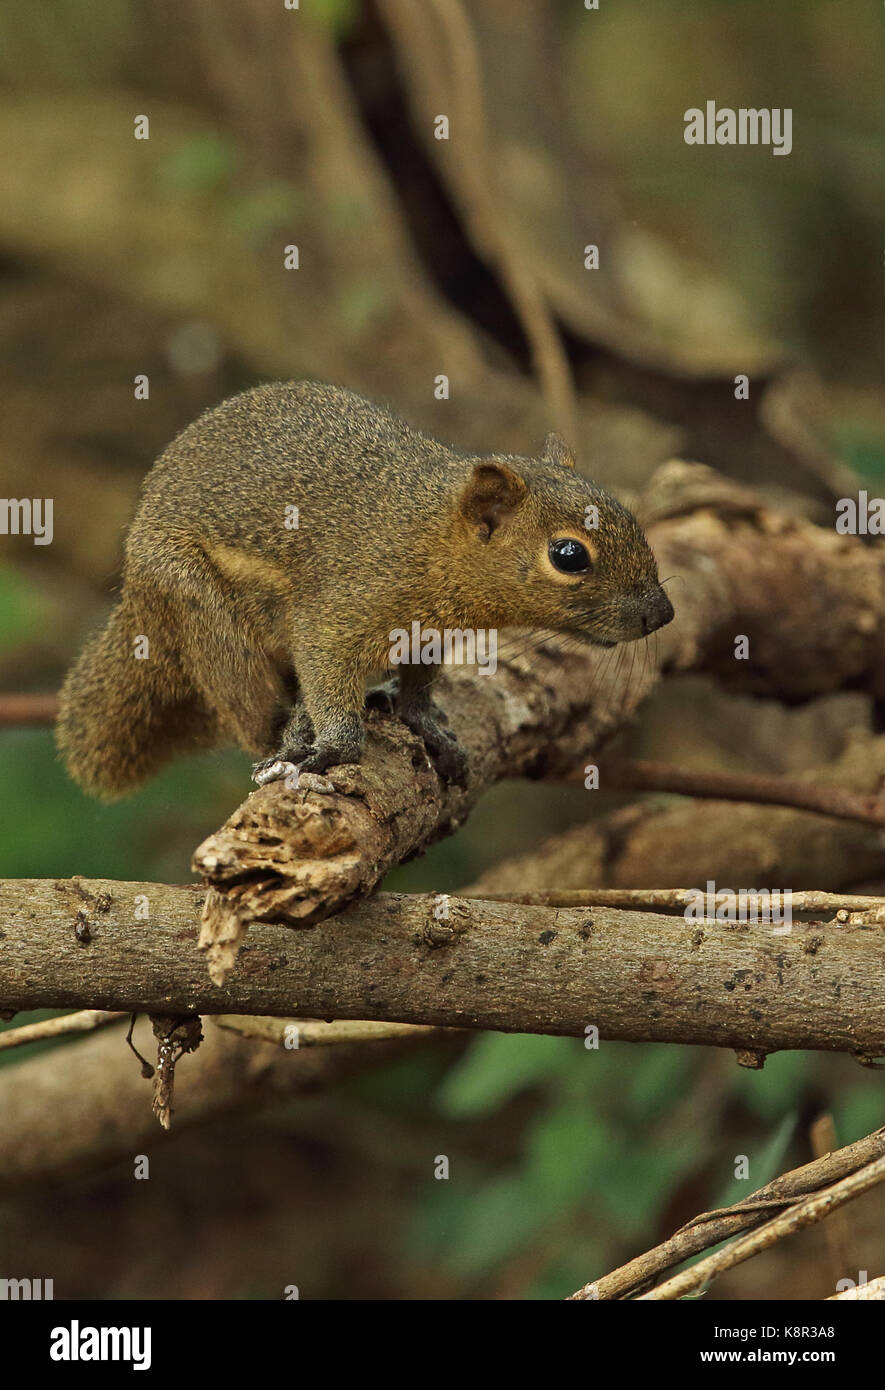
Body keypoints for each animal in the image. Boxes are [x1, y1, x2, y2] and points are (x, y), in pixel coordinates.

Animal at [56, 380, 674, 798]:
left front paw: (423, 721)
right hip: (201, 613)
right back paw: (285, 736)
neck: (429, 539)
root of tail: (134, 603)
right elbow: (327, 674)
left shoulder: (427, 635)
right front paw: (332, 747)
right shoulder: (337, 613)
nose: (661, 614)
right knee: (250, 714)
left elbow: (420, 686)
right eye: (569, 555)